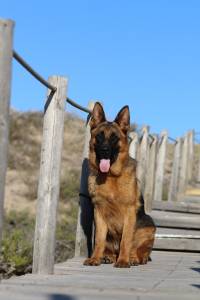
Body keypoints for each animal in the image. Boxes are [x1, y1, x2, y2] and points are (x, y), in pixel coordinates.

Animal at [83, 103, 155, 268]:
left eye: (114, 138)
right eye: (100, 136)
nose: (104, 150)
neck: (110, 177)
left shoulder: (129, 213)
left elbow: (126, 240)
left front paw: (123, 261)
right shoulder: (99, 212)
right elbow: (99, 240)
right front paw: (95, 258)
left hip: (148, 227)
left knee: (140, 250)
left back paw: (133, 258)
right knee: (109, 247)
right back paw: (108, 256)